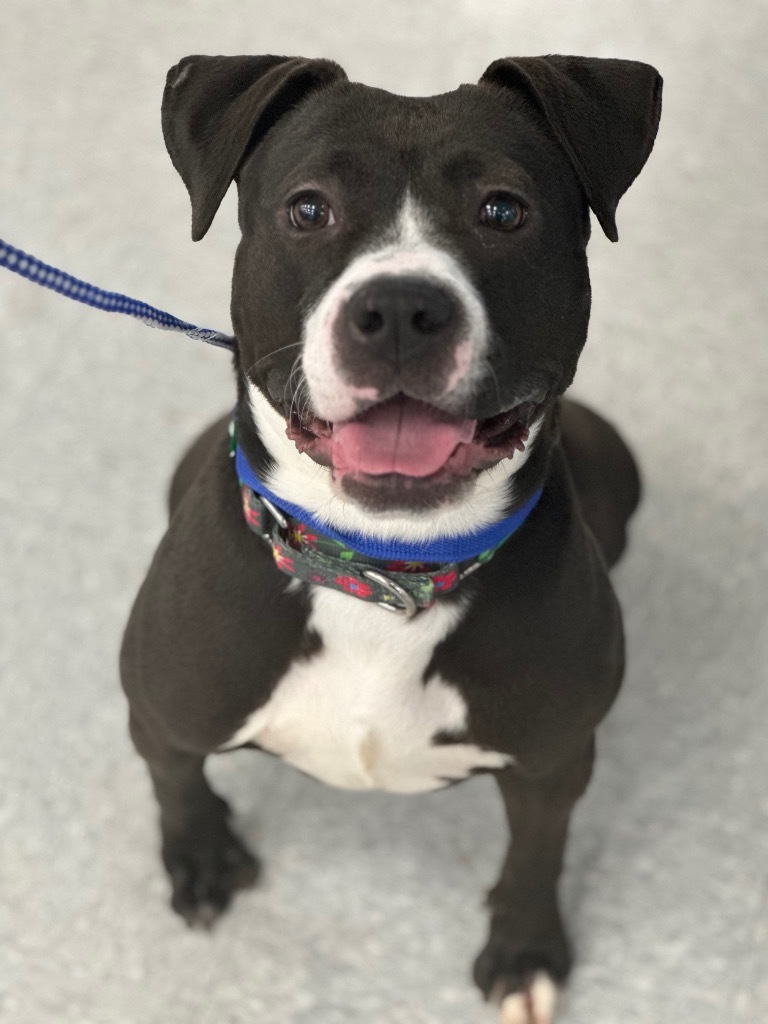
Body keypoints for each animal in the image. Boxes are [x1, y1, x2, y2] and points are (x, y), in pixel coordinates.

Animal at [120, 54, 663, 1024]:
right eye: (308, 210)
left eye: (503, 210)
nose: (403, 307)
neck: (382, 570)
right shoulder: (161, 711)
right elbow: (177, 784)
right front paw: (203, 860)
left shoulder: (554, 760)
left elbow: (539, 852)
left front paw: (524, 950)